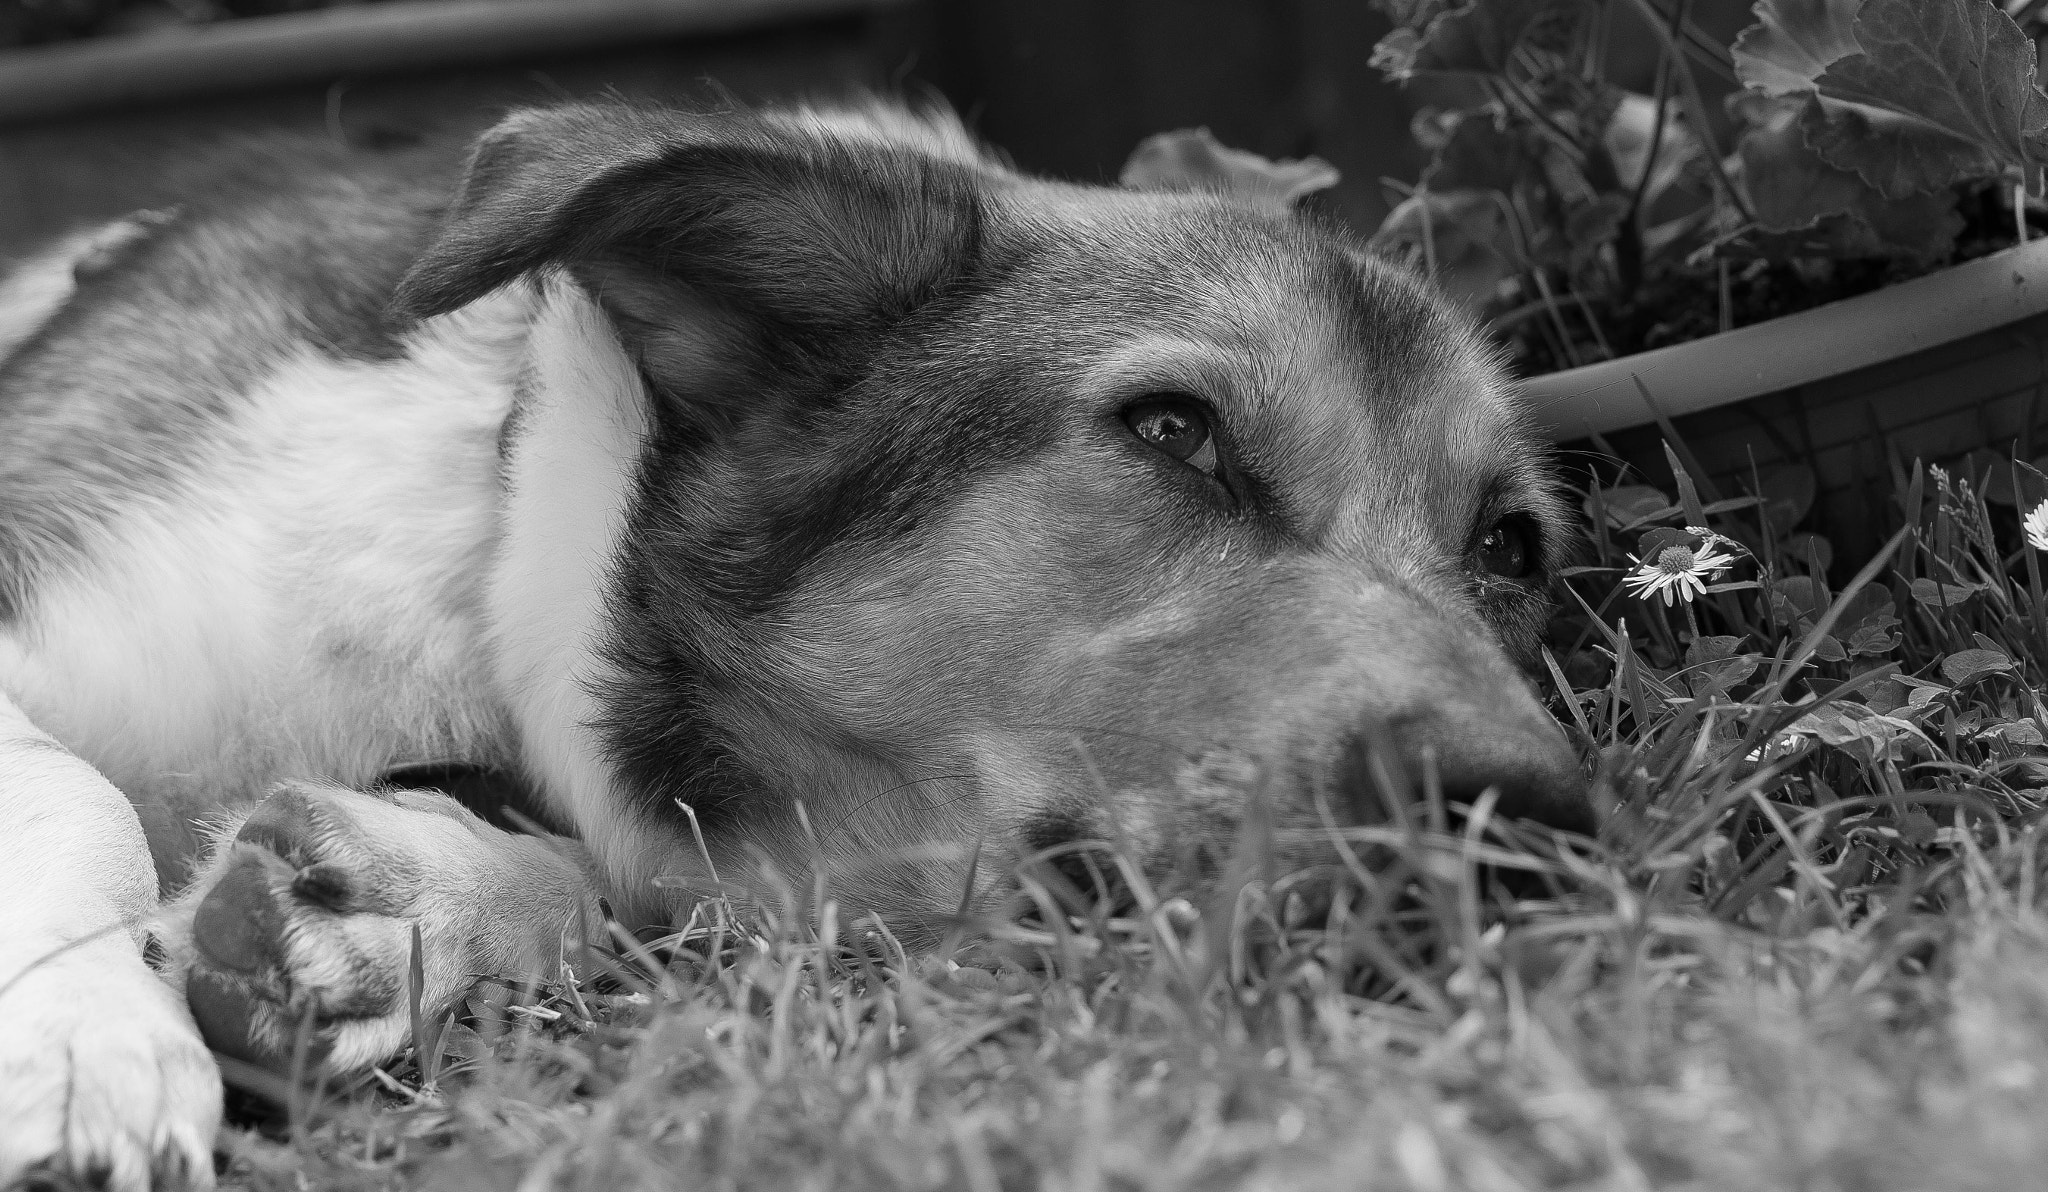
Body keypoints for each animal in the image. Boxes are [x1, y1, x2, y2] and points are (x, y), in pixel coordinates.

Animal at [0, 100, 1597, 1187]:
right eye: (1170, 431)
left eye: (1509, 549)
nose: (1524, 817)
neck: (499, 536)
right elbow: (82, 802)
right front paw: (89, 1048)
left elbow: (592, 882)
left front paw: (409, 909)